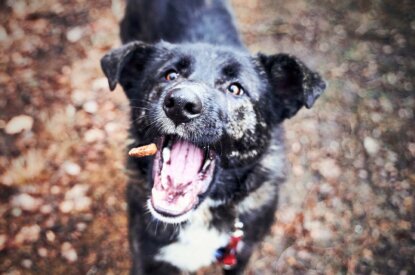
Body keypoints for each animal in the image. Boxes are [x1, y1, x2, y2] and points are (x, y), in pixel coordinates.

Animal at [100, 0, 324, 274]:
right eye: (170, 75)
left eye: (235, 88)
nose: (180, 104)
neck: (201, 213)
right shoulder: (146, 257)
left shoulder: (240, 255)